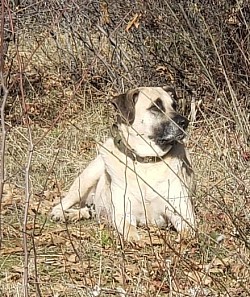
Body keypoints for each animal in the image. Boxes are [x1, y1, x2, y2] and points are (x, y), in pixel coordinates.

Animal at [50, 86, 195, 240]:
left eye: (175, 106)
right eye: (155, 107)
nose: (185, 122)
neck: (147, 161)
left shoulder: (184, 215)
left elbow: (188, 232)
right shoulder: (123, 214)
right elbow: (130, 231)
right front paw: (136, 240)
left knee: (89, 210)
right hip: (85, 180)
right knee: (64, 203)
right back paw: (61, 214)